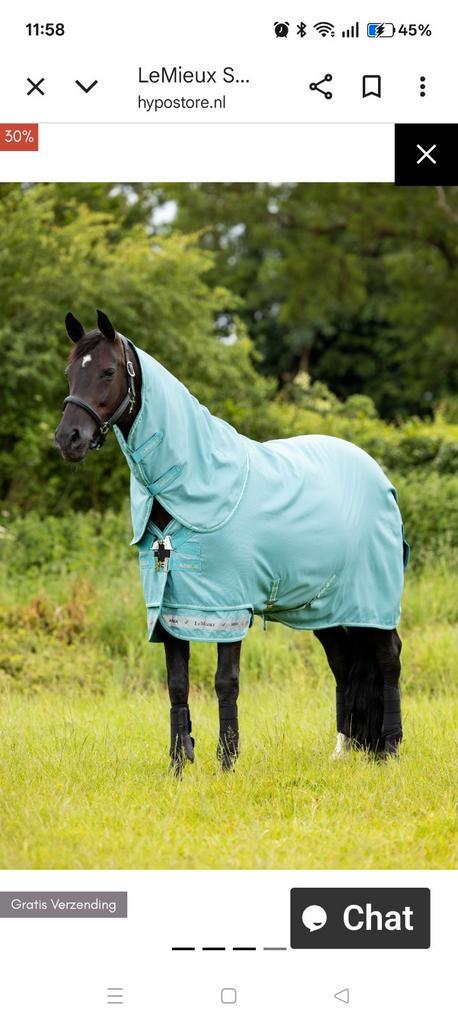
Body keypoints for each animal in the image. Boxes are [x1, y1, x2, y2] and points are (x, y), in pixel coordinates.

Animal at [55, 310, 407, 772]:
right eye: (69, 373)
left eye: (108, 371)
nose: (69, 439)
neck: (194, 481)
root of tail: (380, 478)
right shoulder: (168, 608)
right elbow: (178, 685)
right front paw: (179, 763)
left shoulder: (227, 606)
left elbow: (225, 682)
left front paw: (227, 761)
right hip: (324, 607)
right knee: (345, 664)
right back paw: (344, 749)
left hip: (374, 597)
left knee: (387, 658)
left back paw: (390, 748)